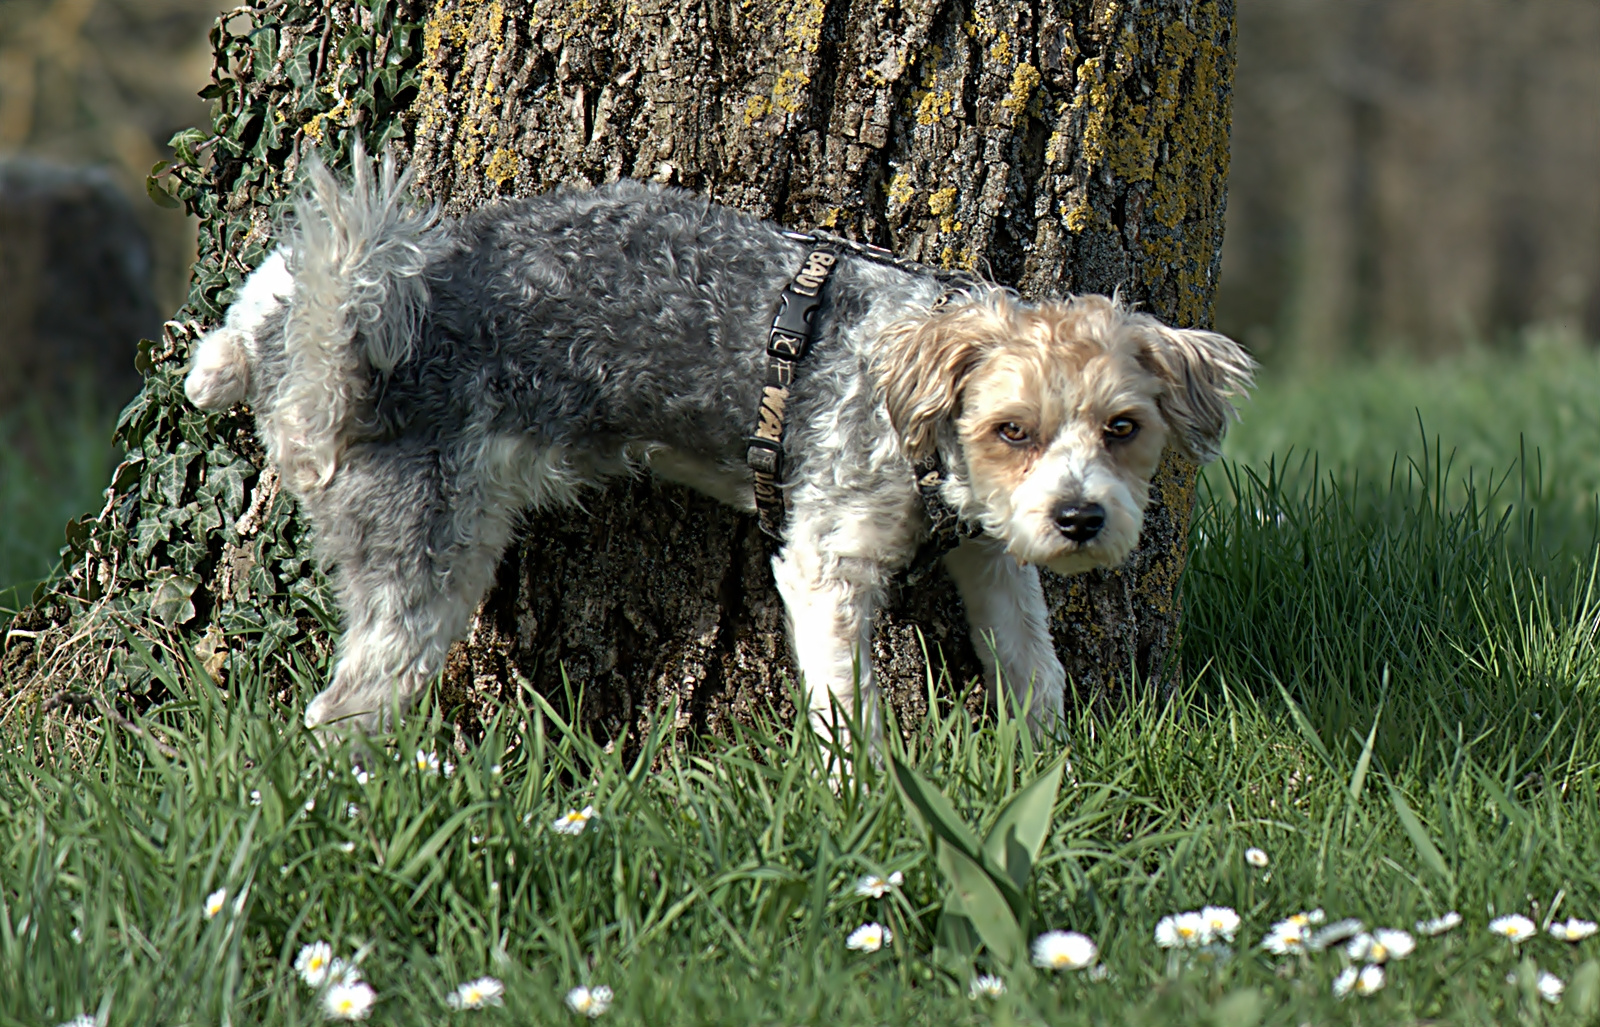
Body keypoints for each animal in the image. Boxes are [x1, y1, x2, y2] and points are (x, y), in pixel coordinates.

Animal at [187, 150, 1254, 742]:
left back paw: (215, 359)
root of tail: (340, 370)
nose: (1080, 517)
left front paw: (1041, 771)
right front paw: (868, 805)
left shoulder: (992, 555)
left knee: (286, 270)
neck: (920, 424)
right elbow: (849, 711)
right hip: (424, 561)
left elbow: (1038, 672)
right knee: (337, 718)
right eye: (1011, 430)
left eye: (1125, 428)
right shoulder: (829, 562)